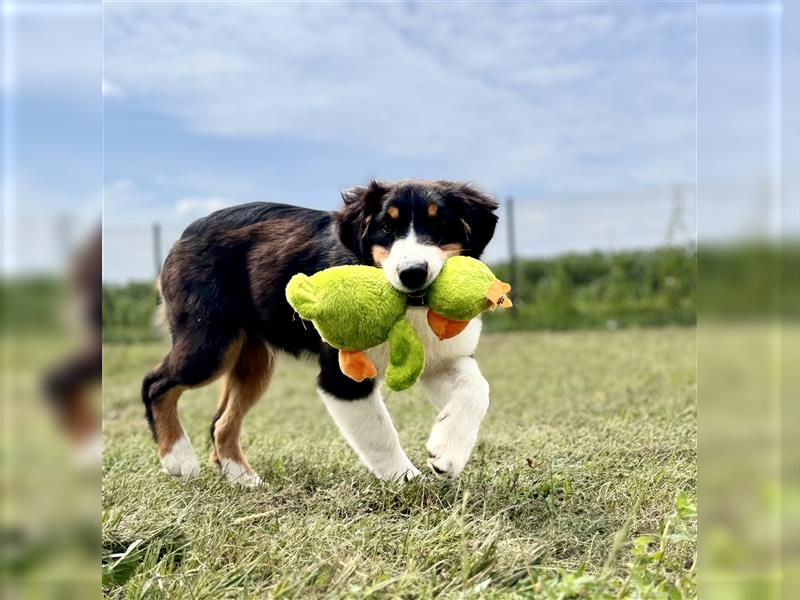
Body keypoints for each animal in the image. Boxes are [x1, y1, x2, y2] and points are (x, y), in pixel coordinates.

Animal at [141, 178, 496, 488]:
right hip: (210, 342)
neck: (411, 310)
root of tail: (184, 234)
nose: (412, 273)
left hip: (253, 361)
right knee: (155, 384)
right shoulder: (341, 377)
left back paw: (244, 479)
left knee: (221, 422)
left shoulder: (441, 358)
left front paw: (447, 453)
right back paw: (179, 459)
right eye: (386, 227)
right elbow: (379, 431)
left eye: (440, 224)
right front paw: (407, 482)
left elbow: (477, 388)